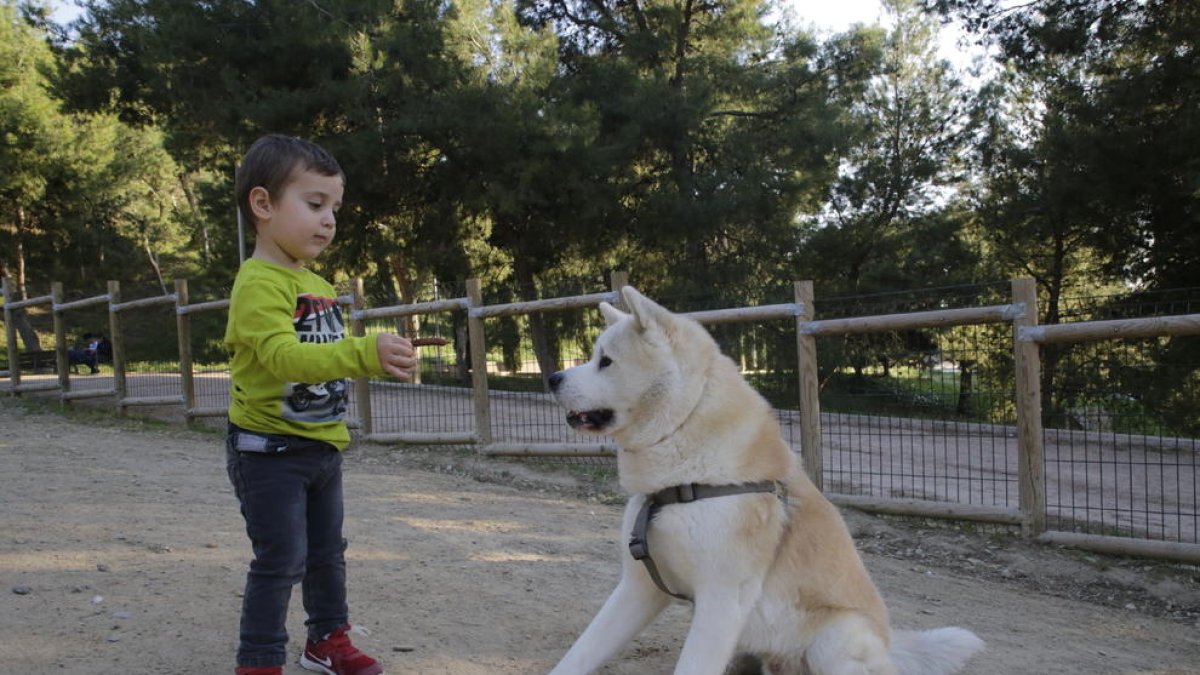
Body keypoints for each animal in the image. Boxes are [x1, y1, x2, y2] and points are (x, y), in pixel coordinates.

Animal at [549, 285, 979, 672]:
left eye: (606, 361)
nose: (552, 378)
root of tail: (892, 646)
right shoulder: (639, 588)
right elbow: (581, 653)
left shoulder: (722, 601)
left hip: (835, 638)